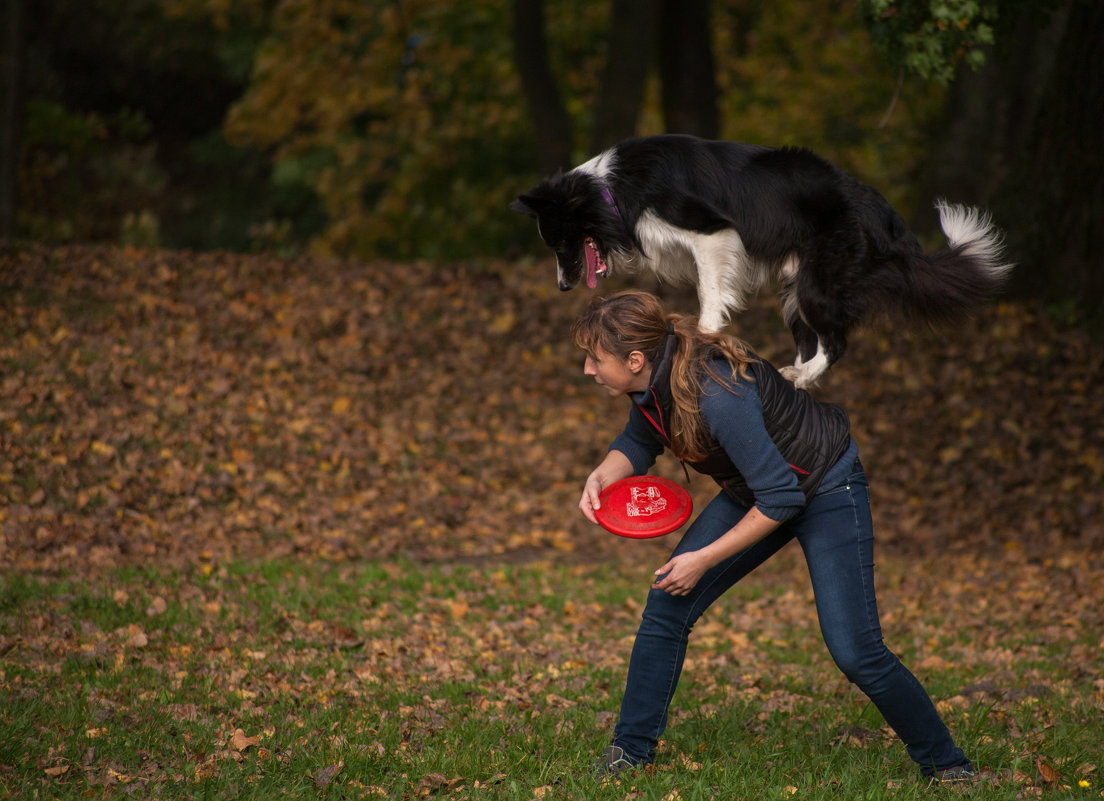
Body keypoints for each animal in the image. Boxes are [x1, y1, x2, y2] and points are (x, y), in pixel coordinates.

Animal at [507, 135, 1011, 388]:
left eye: (560, 242)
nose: (563, 287)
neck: (610, 189)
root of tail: (884, 214)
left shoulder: (712, 233)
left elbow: (711, 293)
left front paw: (705, 333)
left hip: (817, 283)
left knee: (836, 341)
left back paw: (801, 375)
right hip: (795, 288)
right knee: (810, 338)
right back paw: (790, 374)